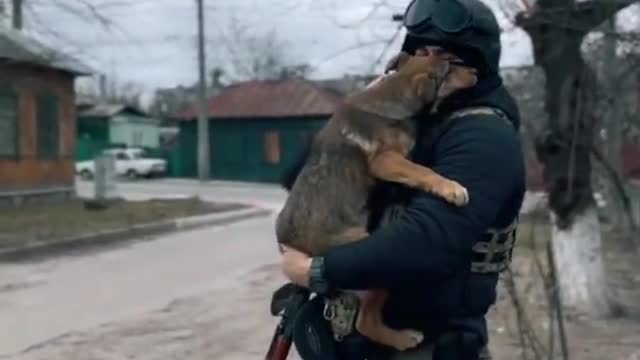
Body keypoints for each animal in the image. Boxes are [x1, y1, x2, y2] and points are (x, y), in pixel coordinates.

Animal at [272, 52, 478, 350]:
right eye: (450, 68)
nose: (475, 71)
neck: (396, 92)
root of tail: (288, 244)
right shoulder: (385, 160)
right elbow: (421, 170)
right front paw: (451, 188)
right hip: (378, 268)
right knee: (365, 322)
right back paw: (402, 339)